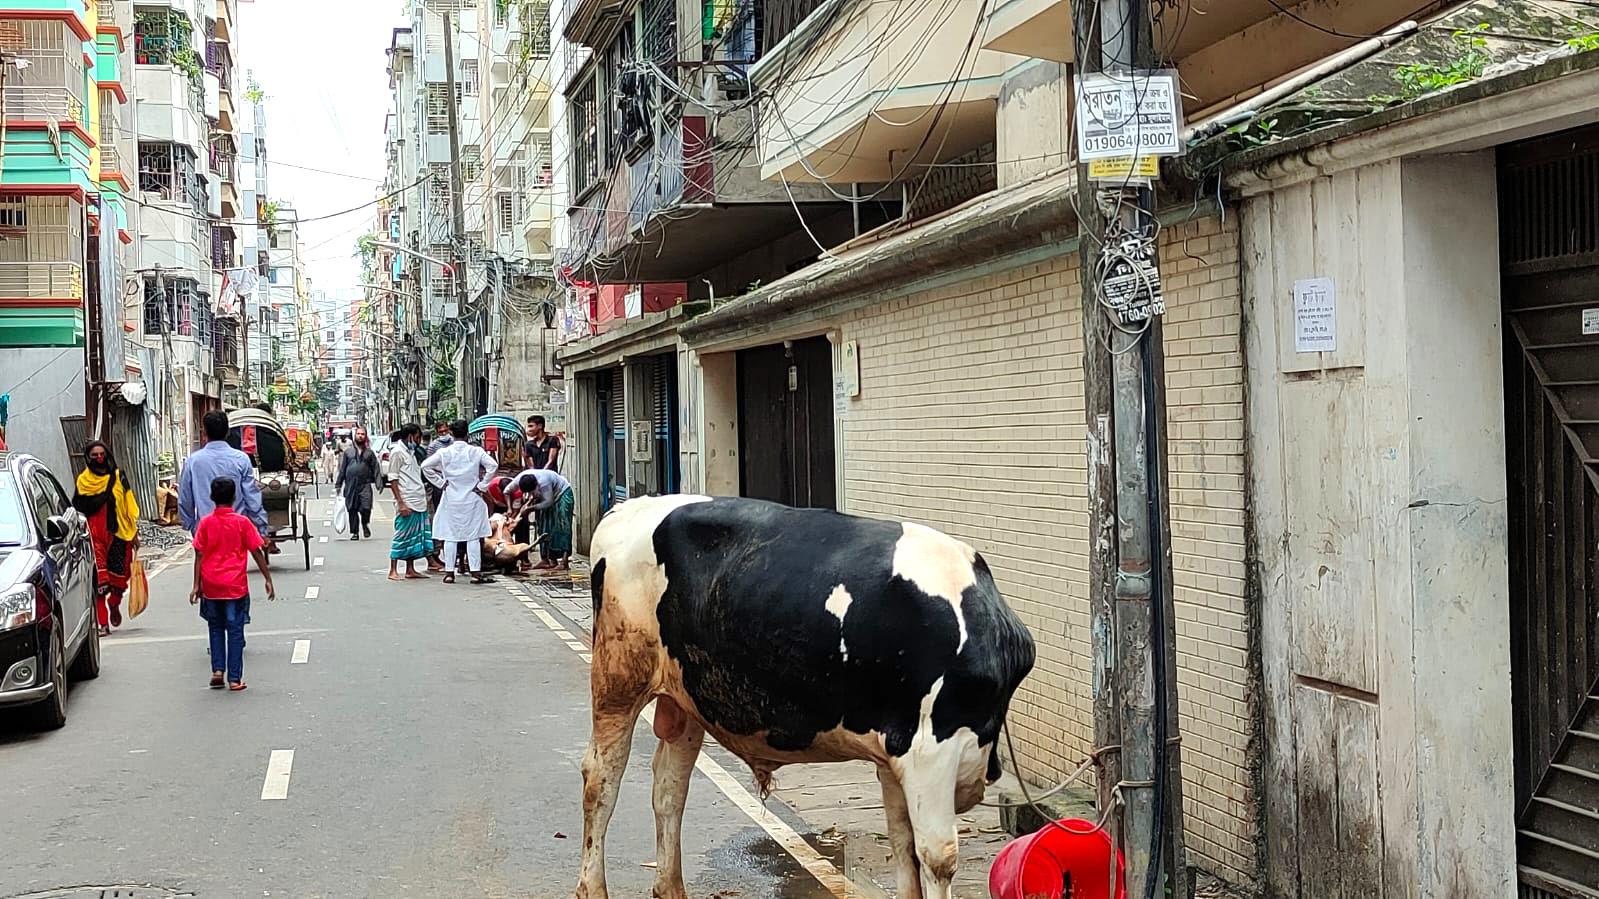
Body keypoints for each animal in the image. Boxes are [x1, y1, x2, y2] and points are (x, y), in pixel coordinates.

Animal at [575, 492, 1036, 889]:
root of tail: (630, 506)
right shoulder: (930, 751)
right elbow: (936, 856)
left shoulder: (895, 752)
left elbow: (903, 848)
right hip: (617, 678)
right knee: (601, 780)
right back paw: (593, 886)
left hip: (687, 699)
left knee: (670, 788)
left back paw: (671, 888)